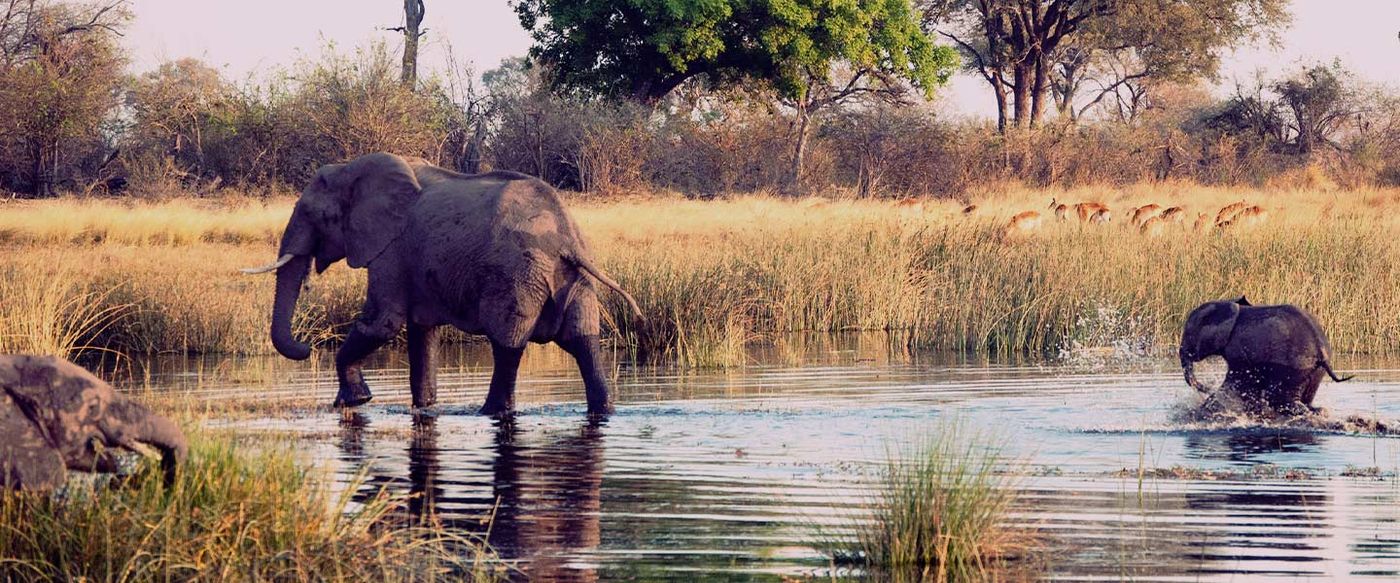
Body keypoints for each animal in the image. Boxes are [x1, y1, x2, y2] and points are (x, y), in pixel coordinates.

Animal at [243, 153, 641, 416]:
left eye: (313, 215)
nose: (307, 347)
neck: (353, 169)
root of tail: (567, 239)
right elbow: (422, 333)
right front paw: (424, 407)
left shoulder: (391, 248)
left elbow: (382, 322)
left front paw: (353, 401)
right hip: (575, 280)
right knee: (583, 341)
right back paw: (604, 410)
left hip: (517, 276)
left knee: (507, 344)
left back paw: (488, 412)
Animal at [1179, 297, 1352, 416]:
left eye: (1189, 334)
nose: (1206, 388)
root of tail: (1320, 352)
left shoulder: (1240, 351)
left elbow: (1238, 382)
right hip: (1314, 372)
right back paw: (1318, 411)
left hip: (1294, 367)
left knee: (1282, 400)